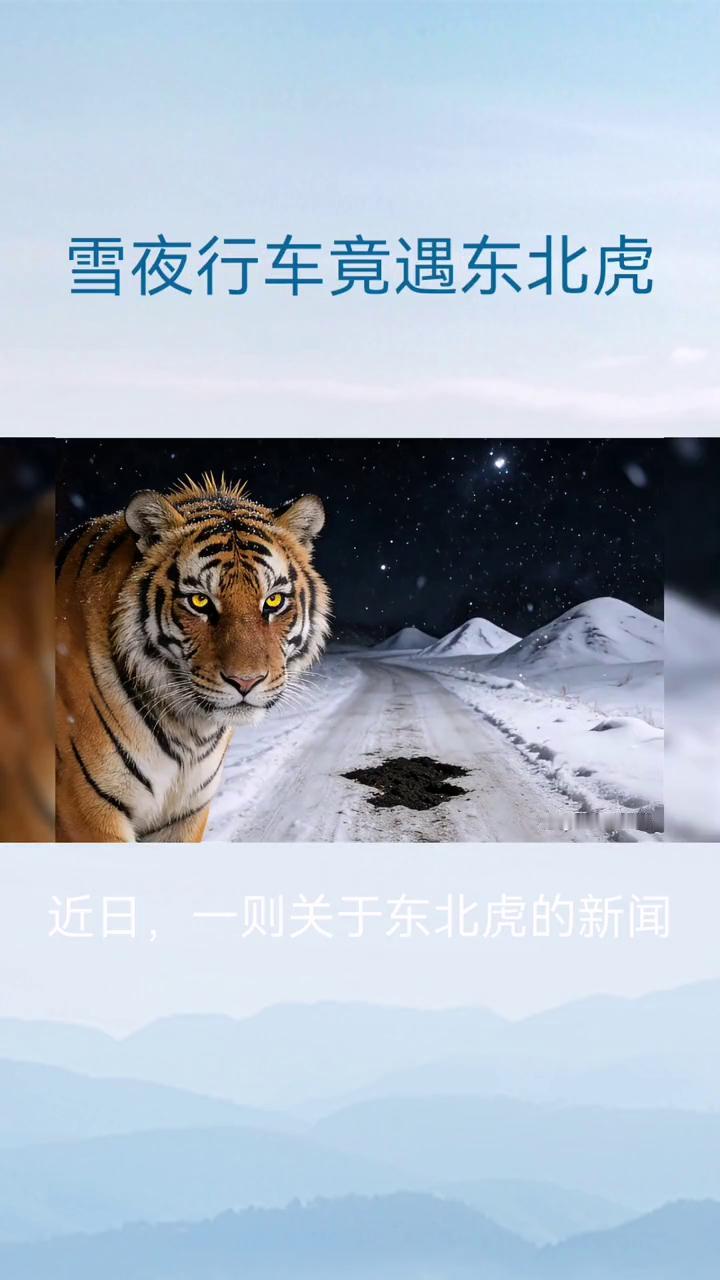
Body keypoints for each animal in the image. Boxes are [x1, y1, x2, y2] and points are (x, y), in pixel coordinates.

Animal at [55, 475, 331, 842]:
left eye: (273, 601)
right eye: (200, 601)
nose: (246, 681)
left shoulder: (185, 813)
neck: (189, 733)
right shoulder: (86, 810)